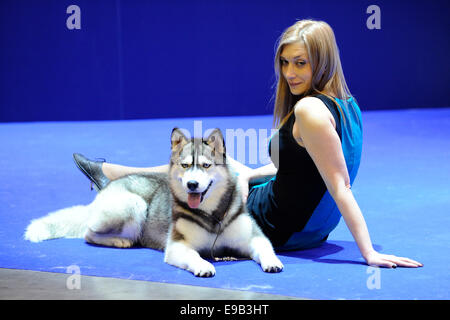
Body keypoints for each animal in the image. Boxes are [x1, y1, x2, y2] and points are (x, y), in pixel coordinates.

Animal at [22, 127, 284, 278]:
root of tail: (109, 186)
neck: (211, 216)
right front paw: (203, 265)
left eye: (206, 166)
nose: (192, 185)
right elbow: (194, 256)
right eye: (185, 165)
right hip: (134, 205)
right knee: (89, 233)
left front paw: (272, 261)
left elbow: (265, 247)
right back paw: (119, 240)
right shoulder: (177, 246)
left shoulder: (253, 237)